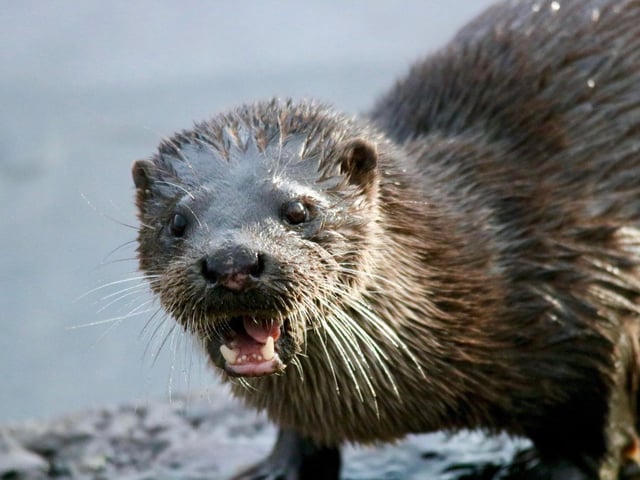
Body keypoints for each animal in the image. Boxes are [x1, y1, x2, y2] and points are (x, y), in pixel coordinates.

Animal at [131, 1, 640, 478]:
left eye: (298, 210)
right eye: (177, 221)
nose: (231, 261)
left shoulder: (591, 301)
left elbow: (595, 435)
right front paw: (276, 468)